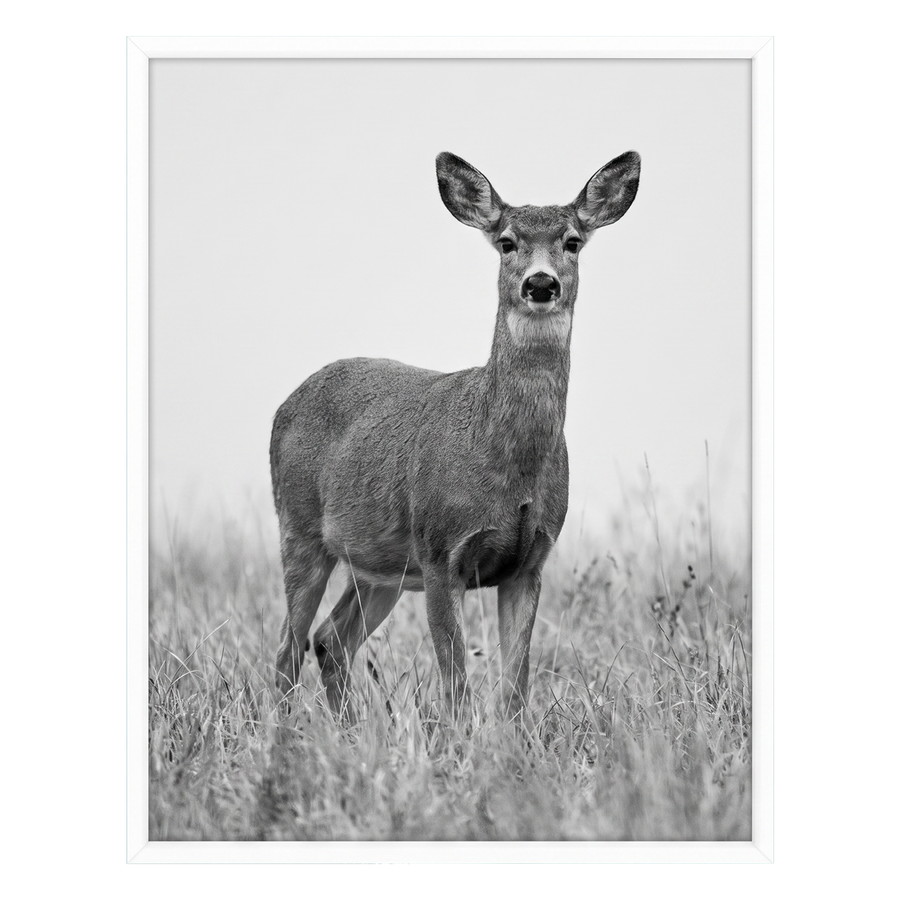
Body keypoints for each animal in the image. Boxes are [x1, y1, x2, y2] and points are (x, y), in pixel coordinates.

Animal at [270, 150, 641, 726]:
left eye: (573, 241)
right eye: (507, 241)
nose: (540, 284)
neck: (508, 465)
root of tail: (284, 405)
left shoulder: (530, 561)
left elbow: (515, 686)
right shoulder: (442, 551)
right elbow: (457, 687)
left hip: (382, 564)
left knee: (330, 639)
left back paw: (349, 731)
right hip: (300, 526)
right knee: (289, 648)